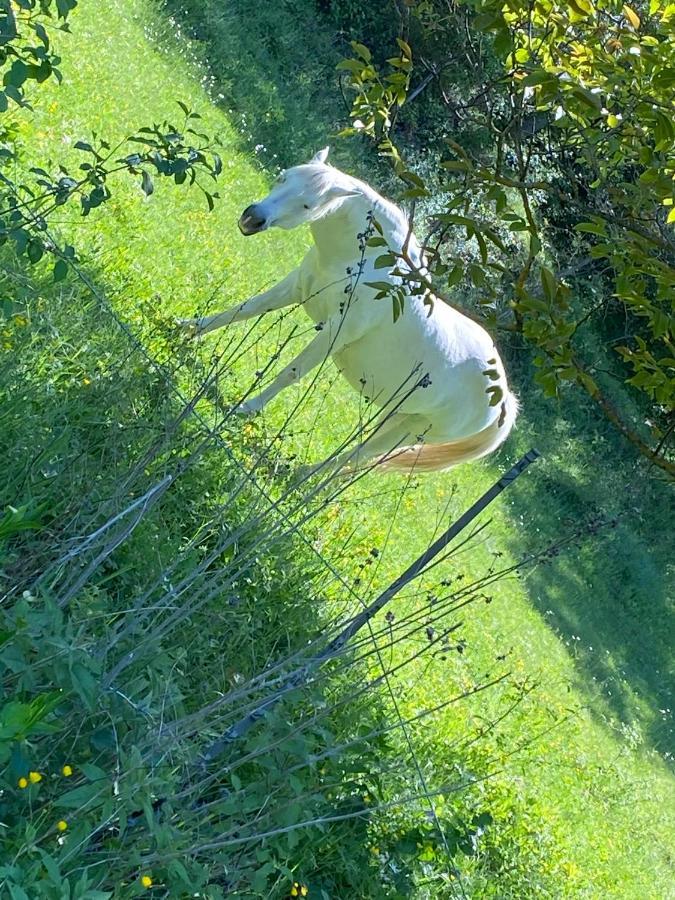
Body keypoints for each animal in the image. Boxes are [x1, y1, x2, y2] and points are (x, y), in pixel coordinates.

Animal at [180, 149, 516, 472]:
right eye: (282, 178)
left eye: (307, 205)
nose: (253, 219)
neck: (367, 262)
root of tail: (502, 399)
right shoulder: (294, 288)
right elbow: (241, 311)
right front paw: (184, 329)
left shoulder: (335, 332)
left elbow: (292, 372)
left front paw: (245, 408)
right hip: (396, 416)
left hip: (412, 428)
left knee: (363, 455)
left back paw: (301, 476)